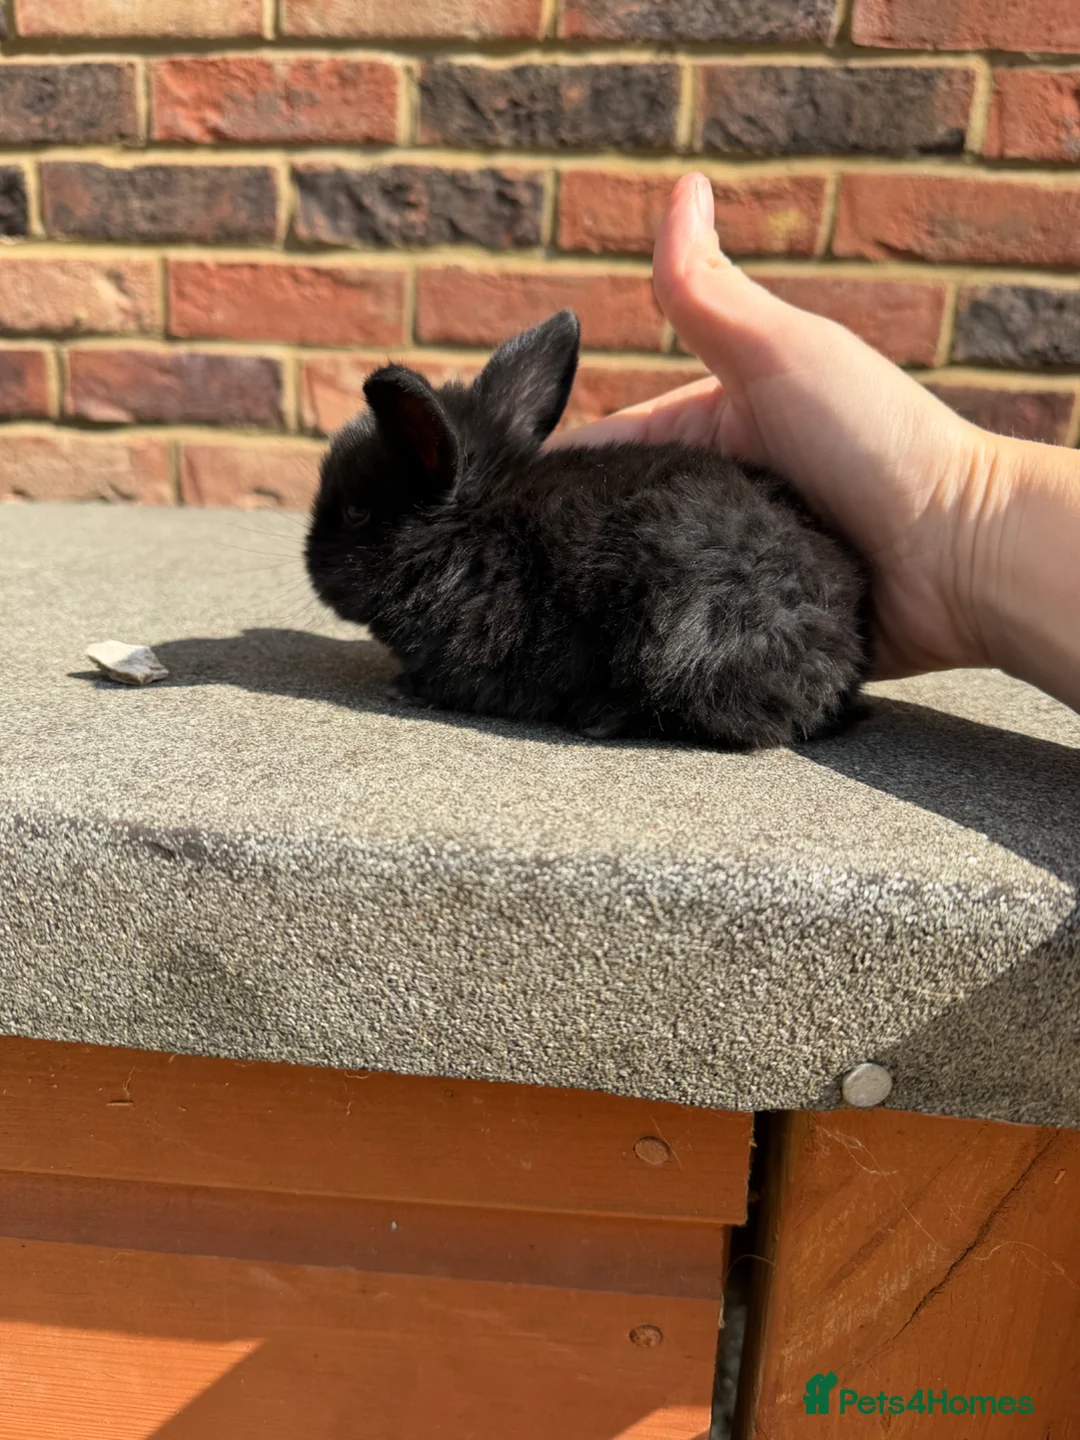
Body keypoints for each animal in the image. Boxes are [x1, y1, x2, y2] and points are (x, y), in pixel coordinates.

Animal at [305, 310, 872, 749]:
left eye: (356, 514)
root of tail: (842, 653)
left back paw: (598, 717)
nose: (310, 562)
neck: (466, 533)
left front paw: (404, 688)